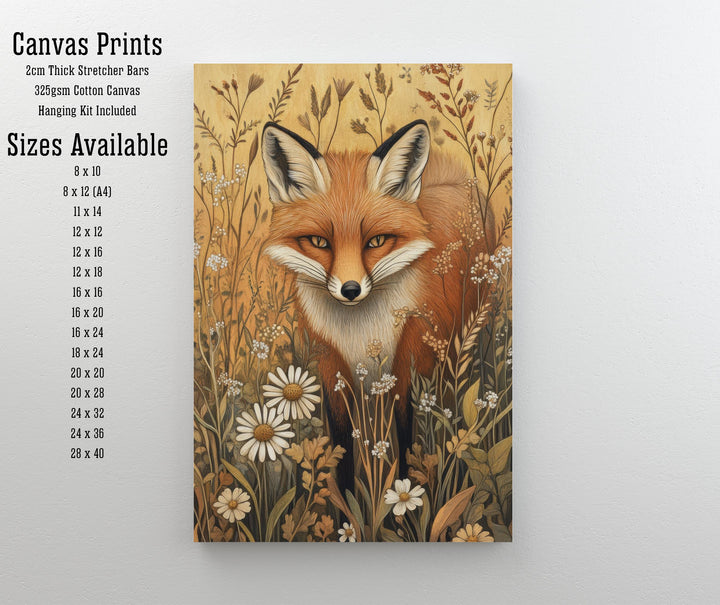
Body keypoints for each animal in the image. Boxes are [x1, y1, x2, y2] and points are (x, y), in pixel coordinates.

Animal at [260, 119, 492, 491]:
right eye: (319, 242)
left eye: (377, 241)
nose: (350, 289)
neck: (360, 334)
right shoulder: (333, 371)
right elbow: (341, 451)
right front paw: (346, 506)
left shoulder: (405, 369)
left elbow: (405, 444)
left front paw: (404, 500)